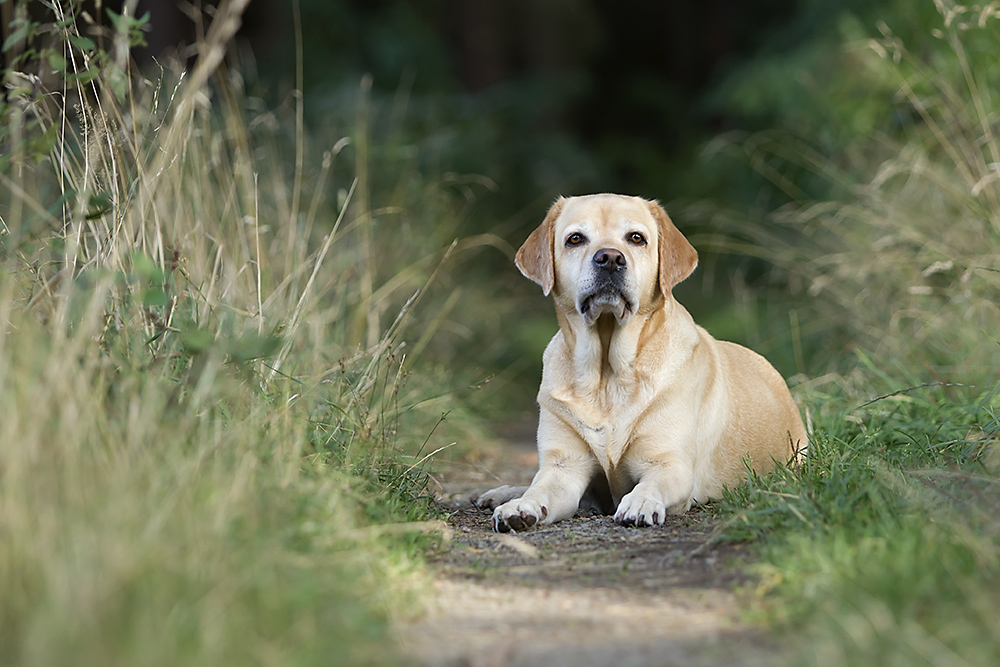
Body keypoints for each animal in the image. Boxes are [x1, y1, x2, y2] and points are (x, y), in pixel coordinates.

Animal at [472, 193, 808, 532]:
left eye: (636, 238)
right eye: (575, 239)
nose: (610, 258)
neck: (608, 374)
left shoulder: (669, 464)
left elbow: (651, 484)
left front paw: (641, 502)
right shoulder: (564, 466)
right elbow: (541, 488)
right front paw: (520, 507)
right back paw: (502, 495)